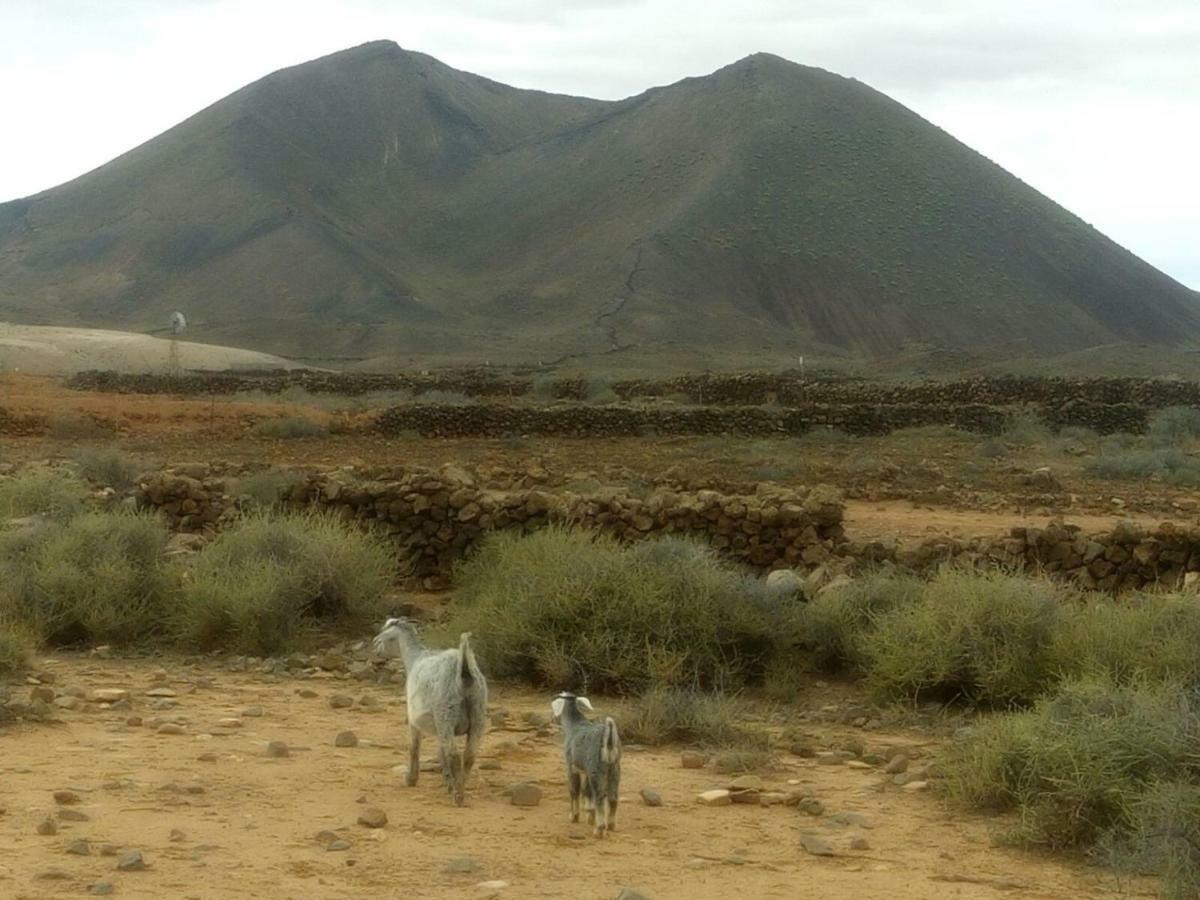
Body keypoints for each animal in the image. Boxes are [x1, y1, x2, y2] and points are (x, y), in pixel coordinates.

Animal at [374, 619, 487, 806]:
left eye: (386, 635)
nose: (375, 645)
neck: (414, 658)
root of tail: (463, 671)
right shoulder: (439, 726)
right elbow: (440, 752)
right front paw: (448, 781)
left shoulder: (414, 718)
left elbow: (414, 746)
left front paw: (411, 779)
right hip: (477, 714)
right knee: (469, 755)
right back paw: (460, 786)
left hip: (446, 713)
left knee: (454, 755)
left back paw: (458, 796)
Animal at [549, 691, 624, 840]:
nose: (553, 719)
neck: (574, 725)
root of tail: (609, 740)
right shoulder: (586, 770)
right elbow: (587, 791)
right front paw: (590, 815)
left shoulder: (572, 767)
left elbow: (574, 791)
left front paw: (574, 816)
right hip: (614, 769)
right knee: (613, 798)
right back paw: (611, 825)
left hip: (597, 769)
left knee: (600, 797)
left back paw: (599, 829)